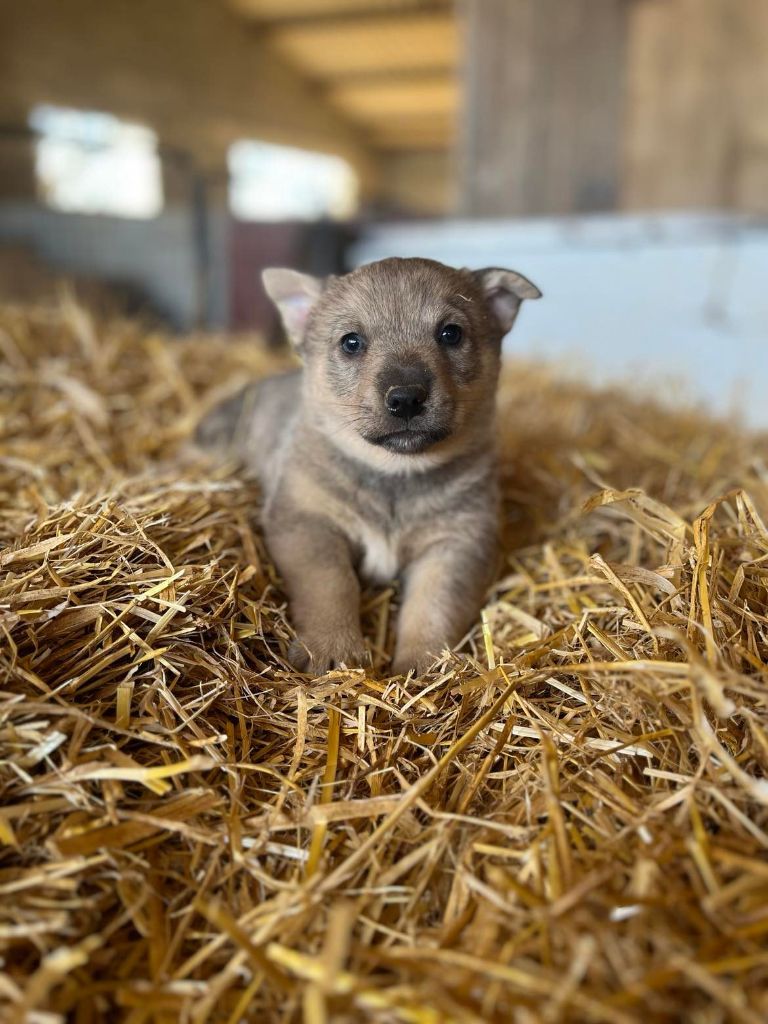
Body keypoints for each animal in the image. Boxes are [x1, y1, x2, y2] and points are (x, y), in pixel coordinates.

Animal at [201, 258, 544, 671]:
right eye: (351, 342)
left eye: (451, 333)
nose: (406, 398)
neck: (395, 476)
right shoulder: (307, 523)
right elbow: (330, 585)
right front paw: (332, 649)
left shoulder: (457, 542)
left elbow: (433, 605)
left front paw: (426, 665)